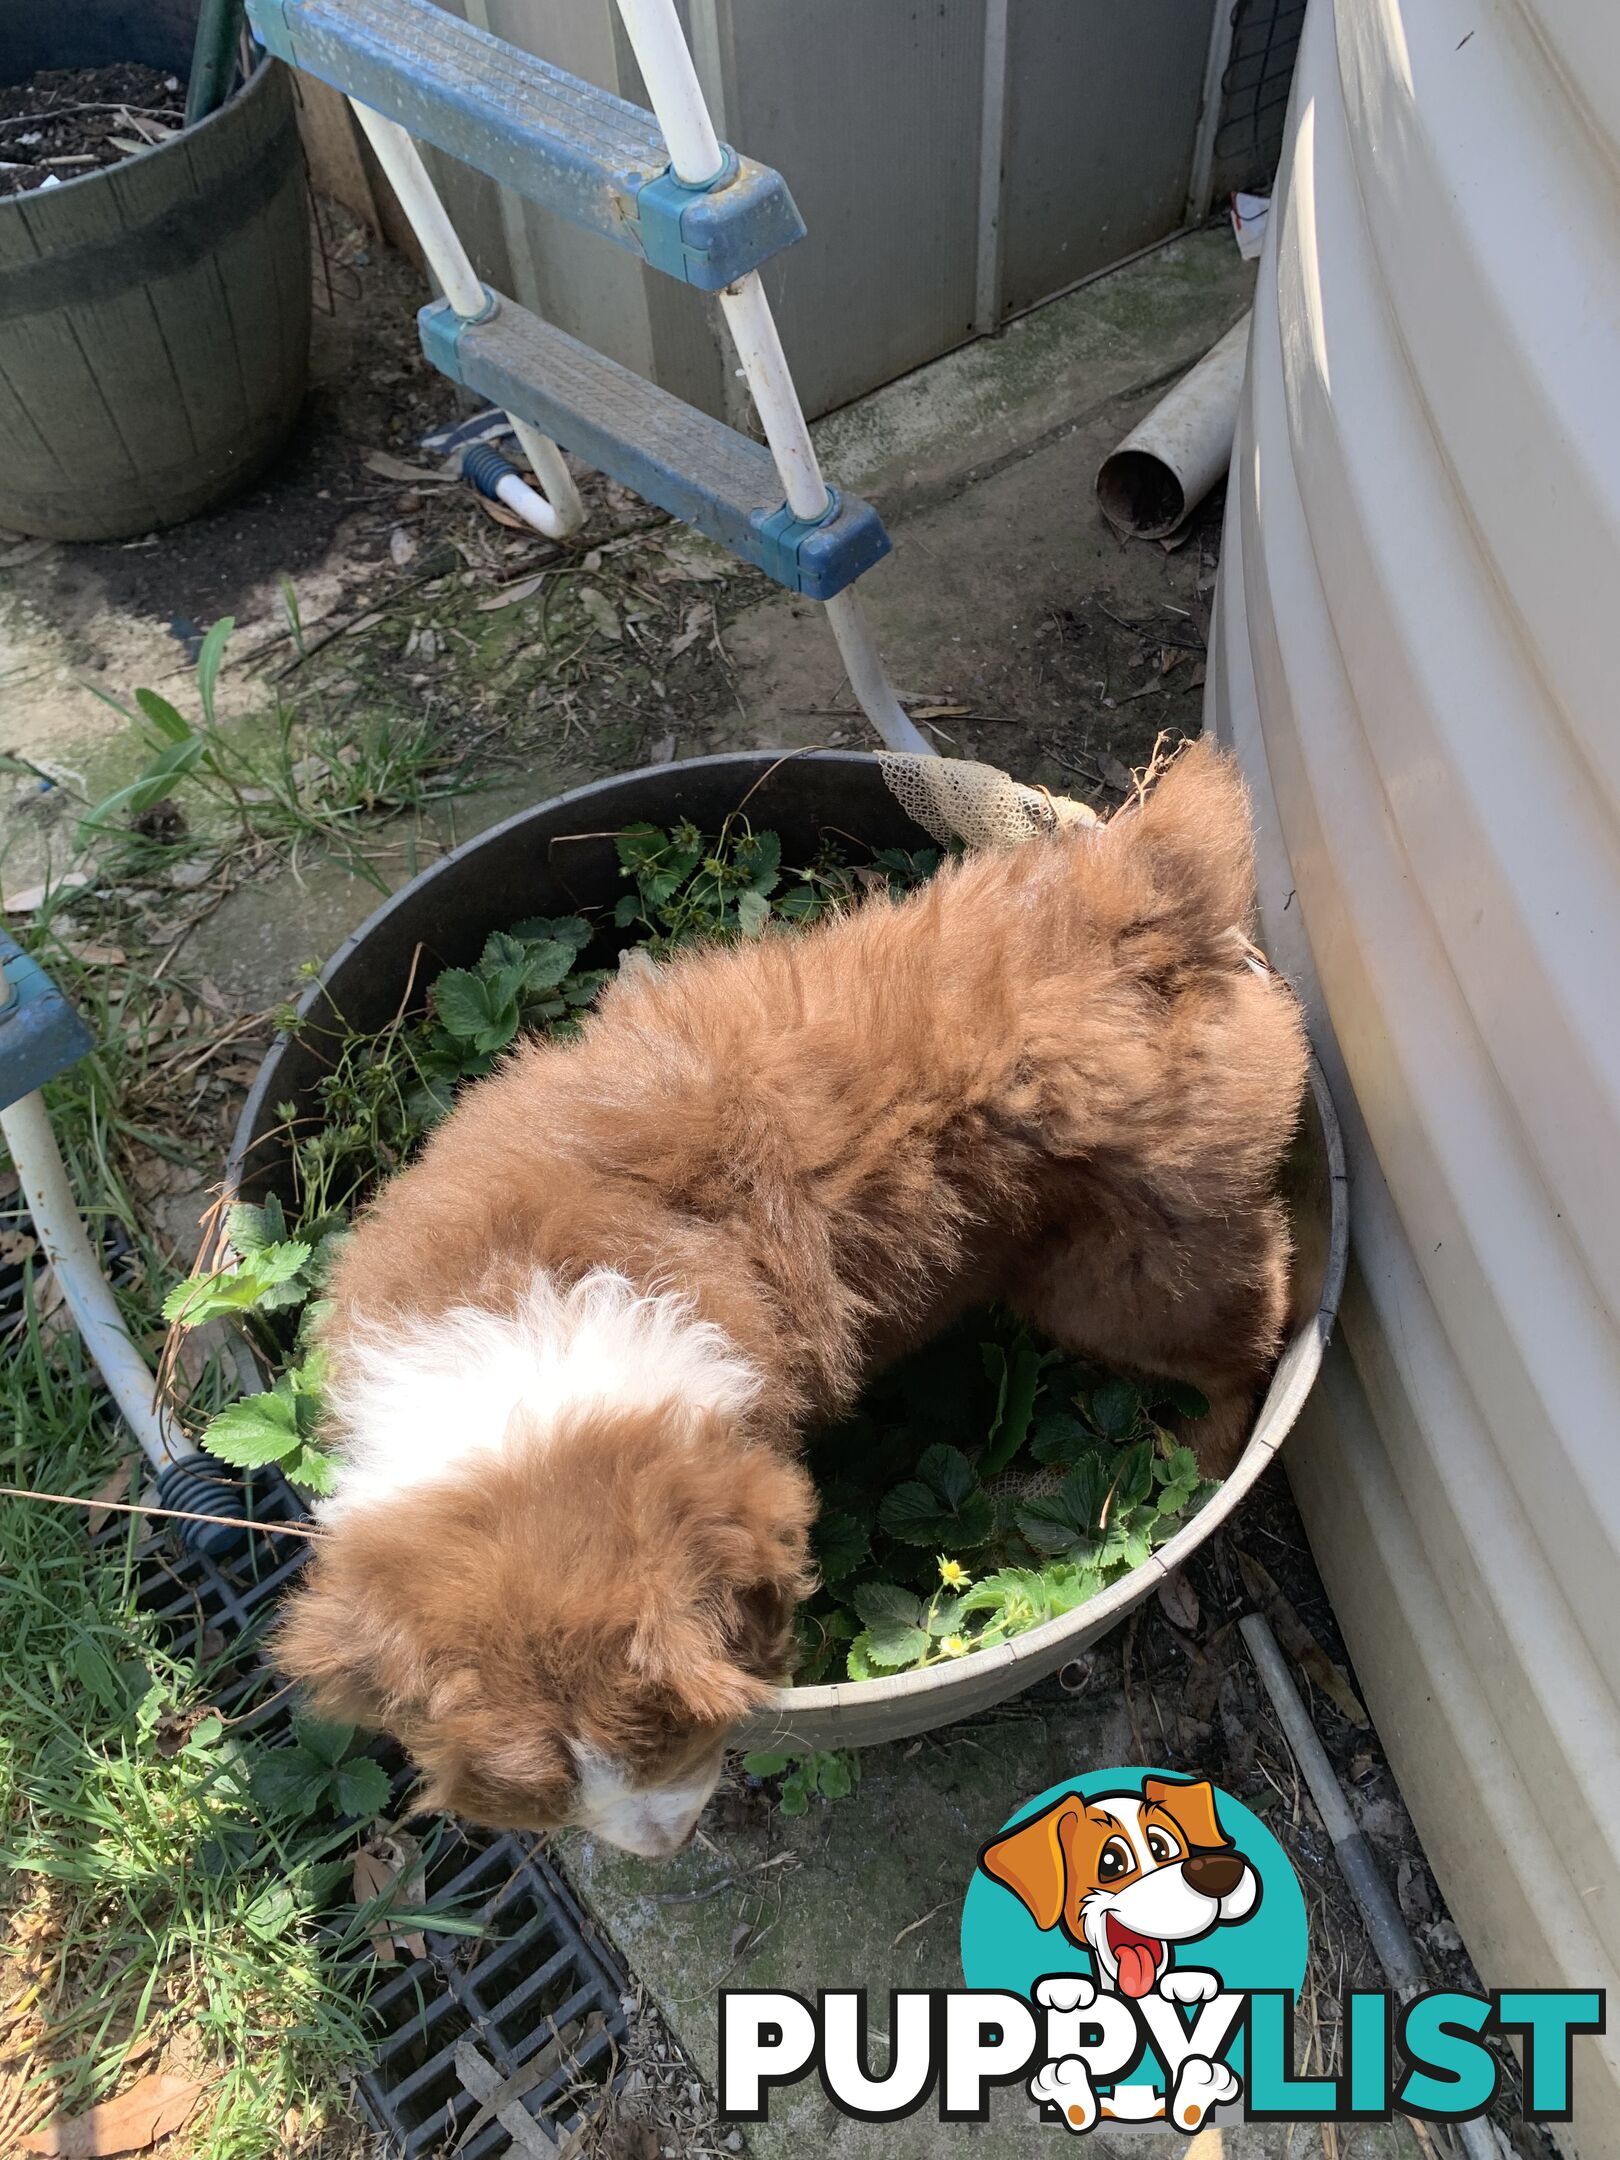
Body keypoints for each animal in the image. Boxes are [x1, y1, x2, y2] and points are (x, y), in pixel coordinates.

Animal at [278, 743, 1313, 1857]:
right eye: (544, 1792)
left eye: (676, 1735)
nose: (658, 1846)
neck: (531, 1313)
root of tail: (1142, 895)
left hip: (1126, 1277)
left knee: (1252, 1342)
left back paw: (1194, 1464)